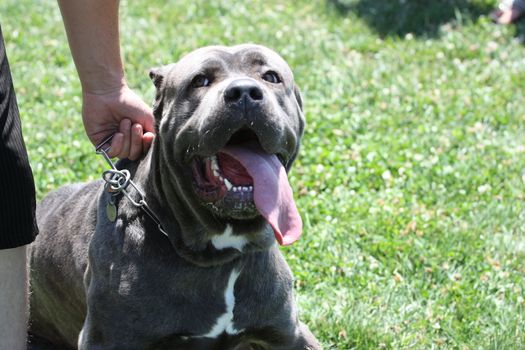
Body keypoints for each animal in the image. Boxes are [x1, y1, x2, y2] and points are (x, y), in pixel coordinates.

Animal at [28, 44, 320, 350]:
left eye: (271, 76)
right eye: (200, 80)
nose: (244, 92)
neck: (221, 253)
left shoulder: (289, 334)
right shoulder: (107, 339)